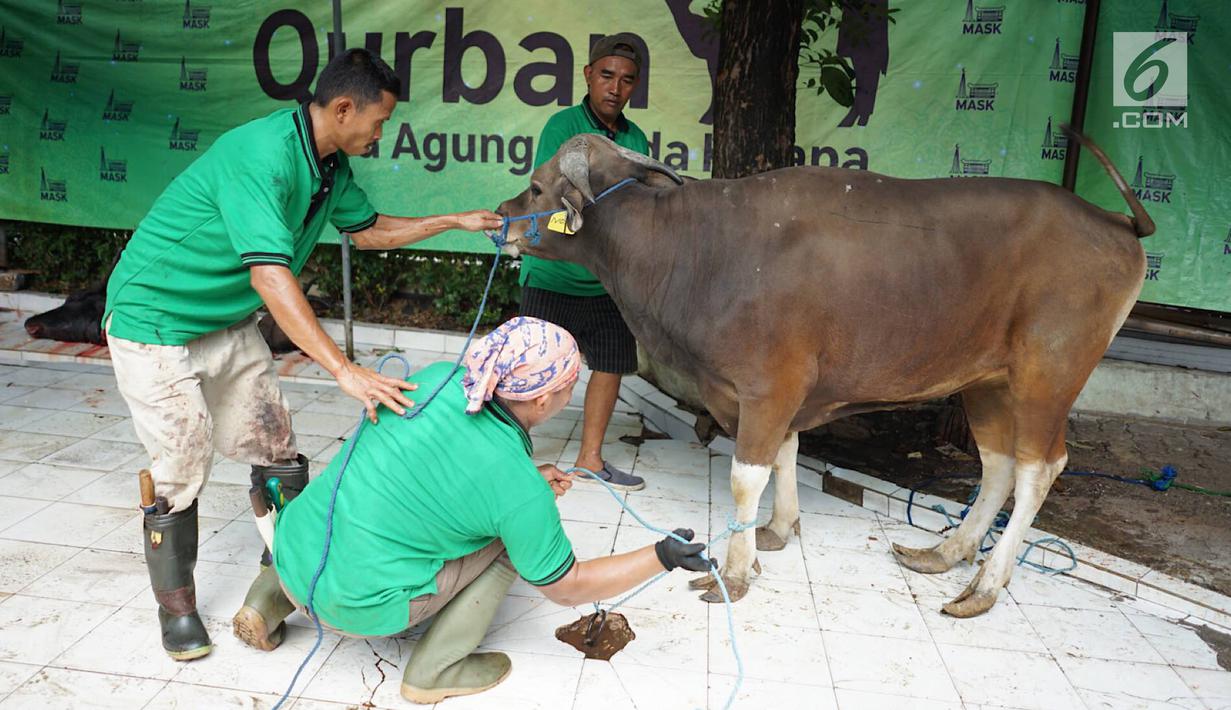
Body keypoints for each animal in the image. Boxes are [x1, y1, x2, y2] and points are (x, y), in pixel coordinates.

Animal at [492, 131, 1152, 615]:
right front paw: (778, 530)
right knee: (998, 466)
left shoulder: (768, 387)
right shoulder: (773, 394)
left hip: (1048, 376)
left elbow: (746, 477)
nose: (498, 214)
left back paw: (986, 585)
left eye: (535, 185)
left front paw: (736, 570)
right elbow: (786, 453)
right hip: (986, 383)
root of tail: (1115, 223)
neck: (697, 247)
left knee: (1040, 469)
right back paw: (946, 553)